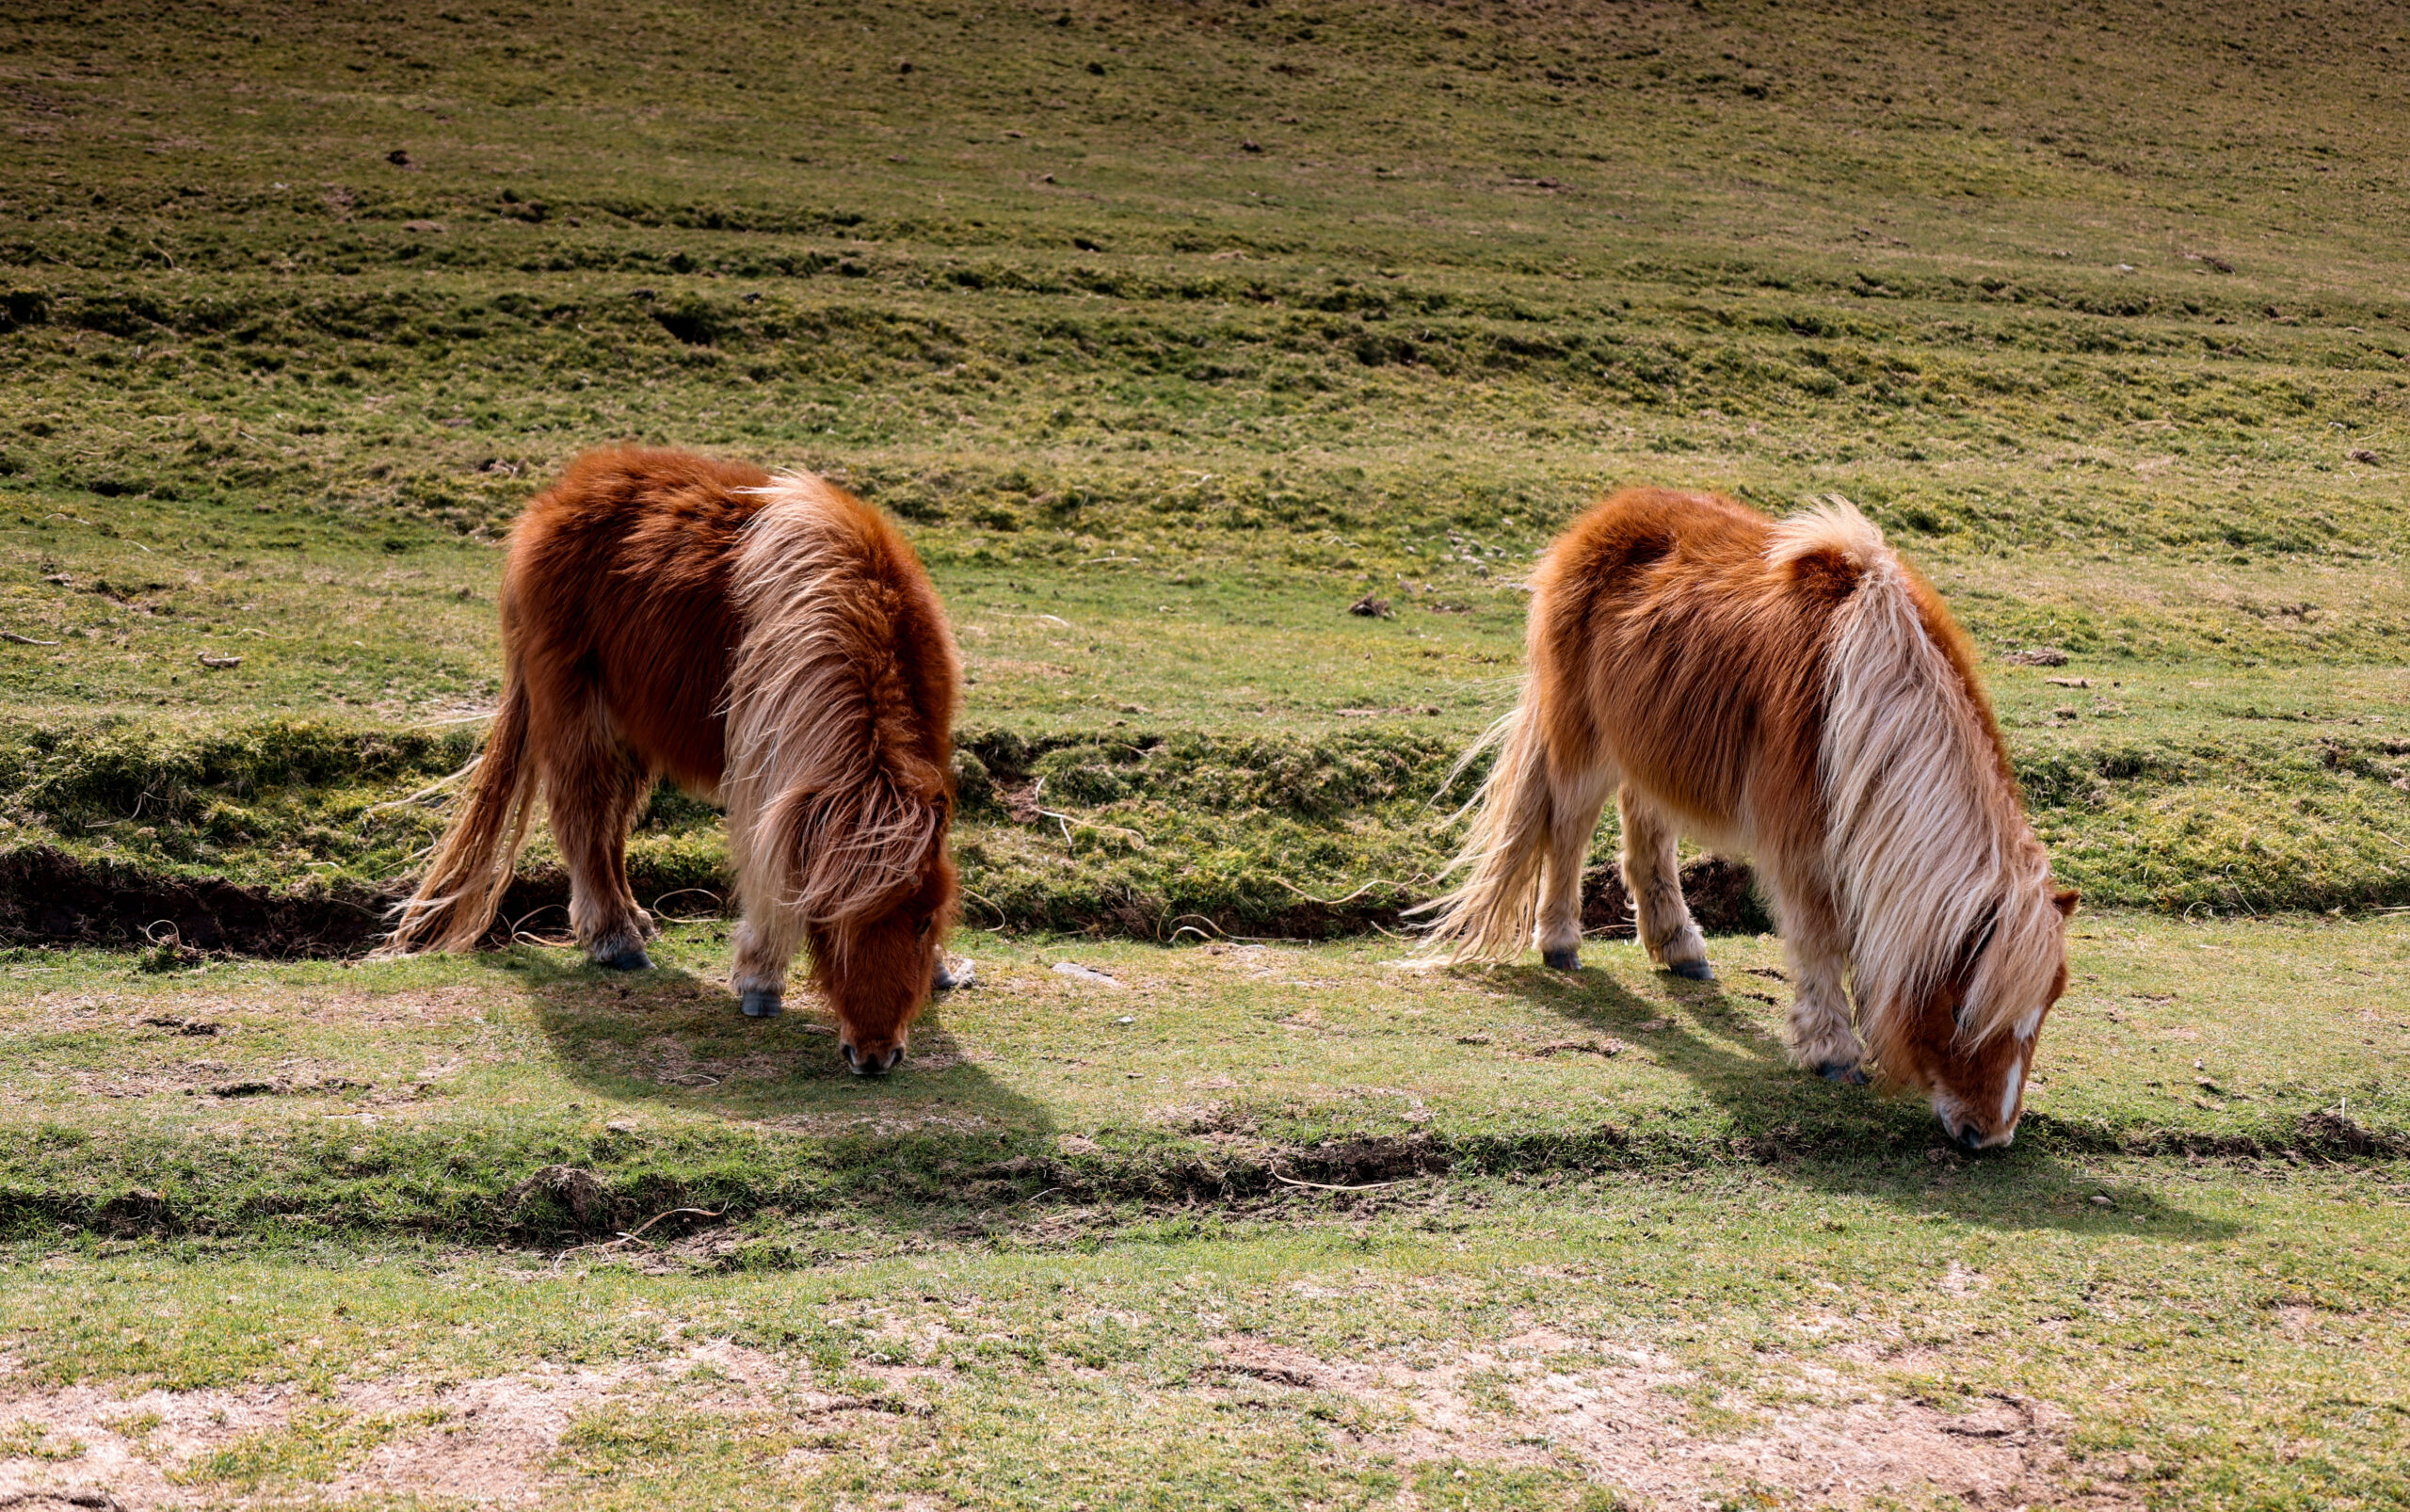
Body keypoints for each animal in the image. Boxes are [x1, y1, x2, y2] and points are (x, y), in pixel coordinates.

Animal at [382, 447, 962, 1076]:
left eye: (924, 920)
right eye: (825, 923)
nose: (875, 1056)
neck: (858, 607)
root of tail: (557, 497)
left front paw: (939, 971)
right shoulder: (766, 777)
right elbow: (765, 875)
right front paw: (760, 981)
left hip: (632, 728)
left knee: (610, 824)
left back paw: (634, 920)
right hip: (578, 712)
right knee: (582, 817)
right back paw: (616, 941)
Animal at [1413, 488, 2076, 1149]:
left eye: (2044, 1010)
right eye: (1964, 1011)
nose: (1989, 1134)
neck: (1858, 694)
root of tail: (1603, 516)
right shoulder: (1802, 846)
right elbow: (1820, 938)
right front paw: (1832, 1052)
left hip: (1652, 747)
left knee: (1645, 837)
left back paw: (1681, 950)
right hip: (1584, 740)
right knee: (1568, 831)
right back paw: (1559, 944)